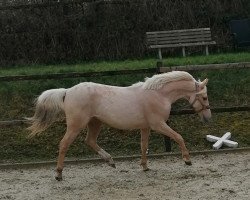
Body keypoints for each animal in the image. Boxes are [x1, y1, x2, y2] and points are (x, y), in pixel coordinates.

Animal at [26, 71, 211, 180]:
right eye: (204, 97)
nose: (208, 119)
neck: (159, 95)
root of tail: (67, 91)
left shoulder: (146, 127)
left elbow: (144, 146)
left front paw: (144, 167)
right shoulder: (158, 124)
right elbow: (178, 137)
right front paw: (187, 160)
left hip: (95, 122)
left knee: (90, 141)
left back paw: (110, 161)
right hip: (76, 125)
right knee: (64, 144)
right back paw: (58, 173)